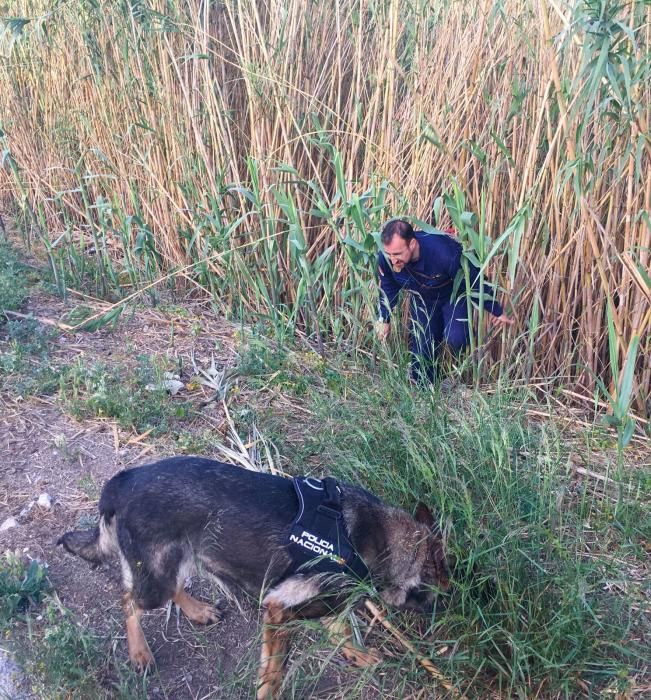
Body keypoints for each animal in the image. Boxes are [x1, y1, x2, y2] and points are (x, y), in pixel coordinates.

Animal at [58, 456, 450, 696]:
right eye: (438, 592)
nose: (445, 610)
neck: (381, 538)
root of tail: (120, 483)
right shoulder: (278, 610)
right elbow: (273, 673)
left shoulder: (326, 600)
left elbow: (339, 625)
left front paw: (356, 652)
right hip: (154, 579)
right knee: (128, 598)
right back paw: (139, 651)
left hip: (183, 559)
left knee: (172, 588)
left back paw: (197, 611)